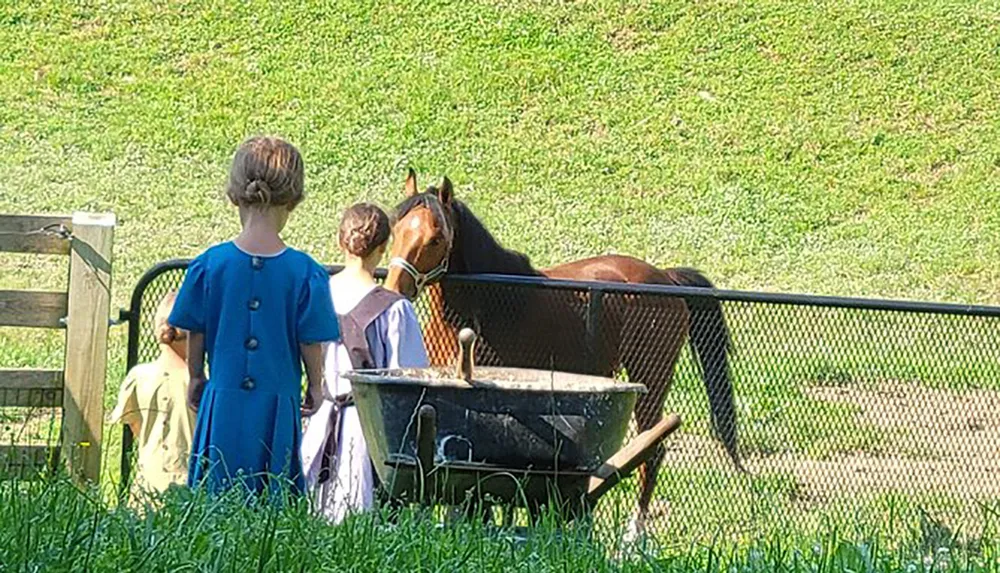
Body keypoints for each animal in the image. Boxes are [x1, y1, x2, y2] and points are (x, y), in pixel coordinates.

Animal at [384, 170, 744, 532]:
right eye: (396, 230)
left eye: (435, 238)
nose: (395, 287)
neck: (490, 301)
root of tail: (666, 279)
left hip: (652, 379)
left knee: (652, 452)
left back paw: (634, 534)